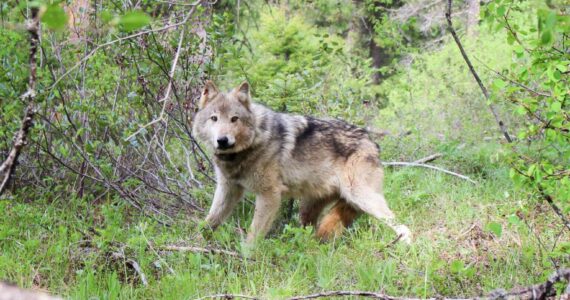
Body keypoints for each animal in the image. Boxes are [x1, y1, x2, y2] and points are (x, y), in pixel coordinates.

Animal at [191, 81, 408, 244]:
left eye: (234, 119)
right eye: (214, 118)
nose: (222, 140)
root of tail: (372, 142)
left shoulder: (270, 195)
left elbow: (254, 234)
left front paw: (247, 258)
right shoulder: (228, 189)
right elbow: (209, 221)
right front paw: (194, 246)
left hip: (362, 198)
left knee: (402, 225)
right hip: (309, 209)